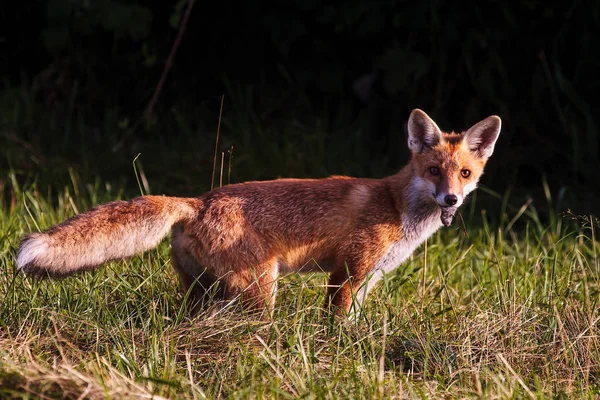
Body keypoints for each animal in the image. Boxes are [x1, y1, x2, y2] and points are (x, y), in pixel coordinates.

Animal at [16, 108, 502, 316]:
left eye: (464, 173)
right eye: (434, 171)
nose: (451, 200)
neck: (399, 209)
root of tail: (199, 202)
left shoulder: (367, 280)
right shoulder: (346, 275)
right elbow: (337, 325)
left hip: (204, 292)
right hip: (261, 288)